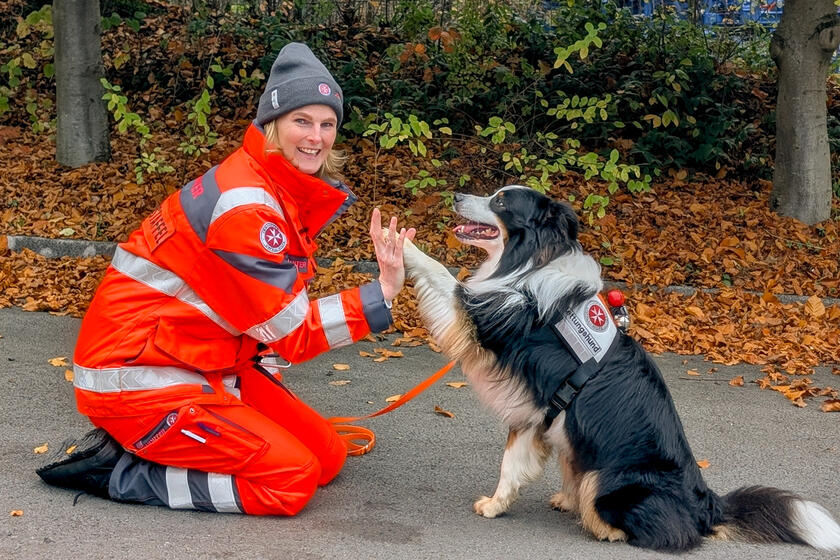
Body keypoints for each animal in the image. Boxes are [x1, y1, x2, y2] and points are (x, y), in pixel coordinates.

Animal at [398, 185, 840, 552]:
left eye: (501, 201)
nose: (456, 195)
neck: (530, 263)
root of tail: (706, 505)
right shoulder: (538, 411)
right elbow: (513, 459)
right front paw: (498, 503)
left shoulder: (484, 320)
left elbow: (439, 271)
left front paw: (399, 242)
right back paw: (568, 499)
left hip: (608, 480)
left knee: (665, 531)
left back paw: (603, 525)